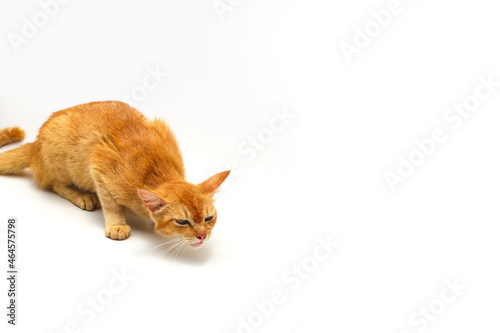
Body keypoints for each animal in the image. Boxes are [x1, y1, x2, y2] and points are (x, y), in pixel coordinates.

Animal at [0, 102, 230, 246]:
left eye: (209, 218)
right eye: (182, 222)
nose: (202, 236)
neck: (154, 171)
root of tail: (35, 143)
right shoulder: (98, 164)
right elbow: (111, 205)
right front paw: (117, 224)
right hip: (60, 158)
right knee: (56, 184)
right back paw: (82, 196)